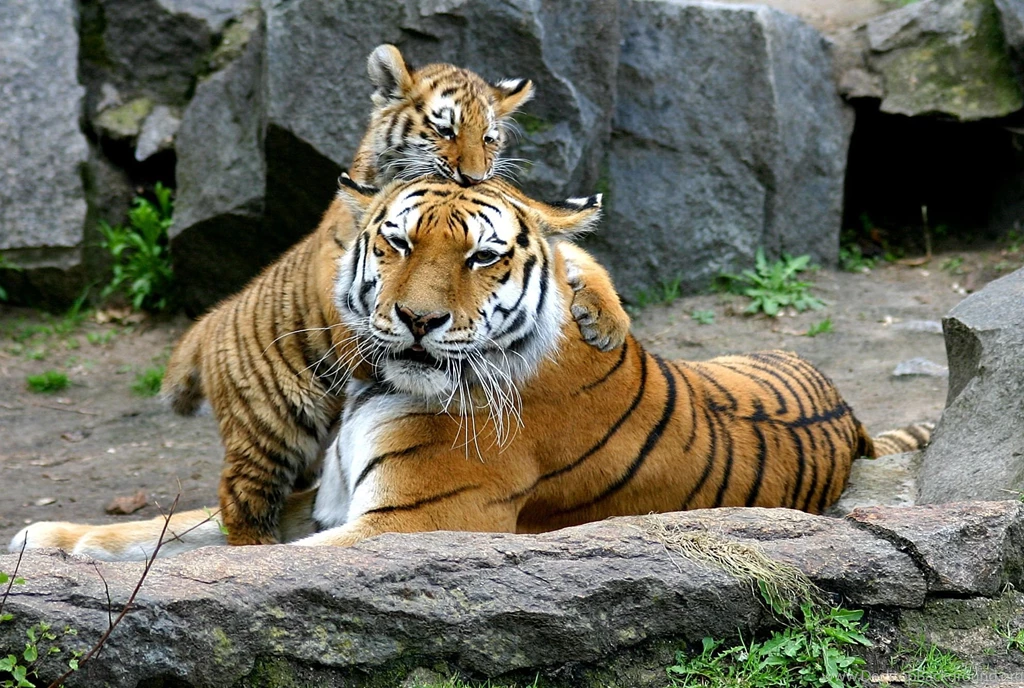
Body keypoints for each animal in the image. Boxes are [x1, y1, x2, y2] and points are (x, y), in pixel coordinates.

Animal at [11, 176, 932, 560]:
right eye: (396, 241)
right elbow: (170, 527)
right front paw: (42, 541)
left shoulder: (408, 523)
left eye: (483, 257)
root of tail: (852, 418)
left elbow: (235, 562)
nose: (417, 321)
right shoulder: (319, 500)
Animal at [148, 44, 631, 546]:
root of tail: (210, 321)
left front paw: (606, 322)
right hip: (268, 430)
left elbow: (575, 255)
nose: (474, 177)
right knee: (241, 500)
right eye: (445, 129)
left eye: (489, 139)